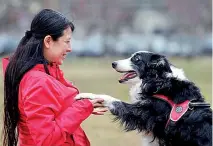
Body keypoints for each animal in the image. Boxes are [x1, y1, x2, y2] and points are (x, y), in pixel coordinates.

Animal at [75, 51, 211, 146]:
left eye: (136, 59)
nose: (113, 63)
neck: (158, 80)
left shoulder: (142, 112)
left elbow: (111, 99)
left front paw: (85, 95)